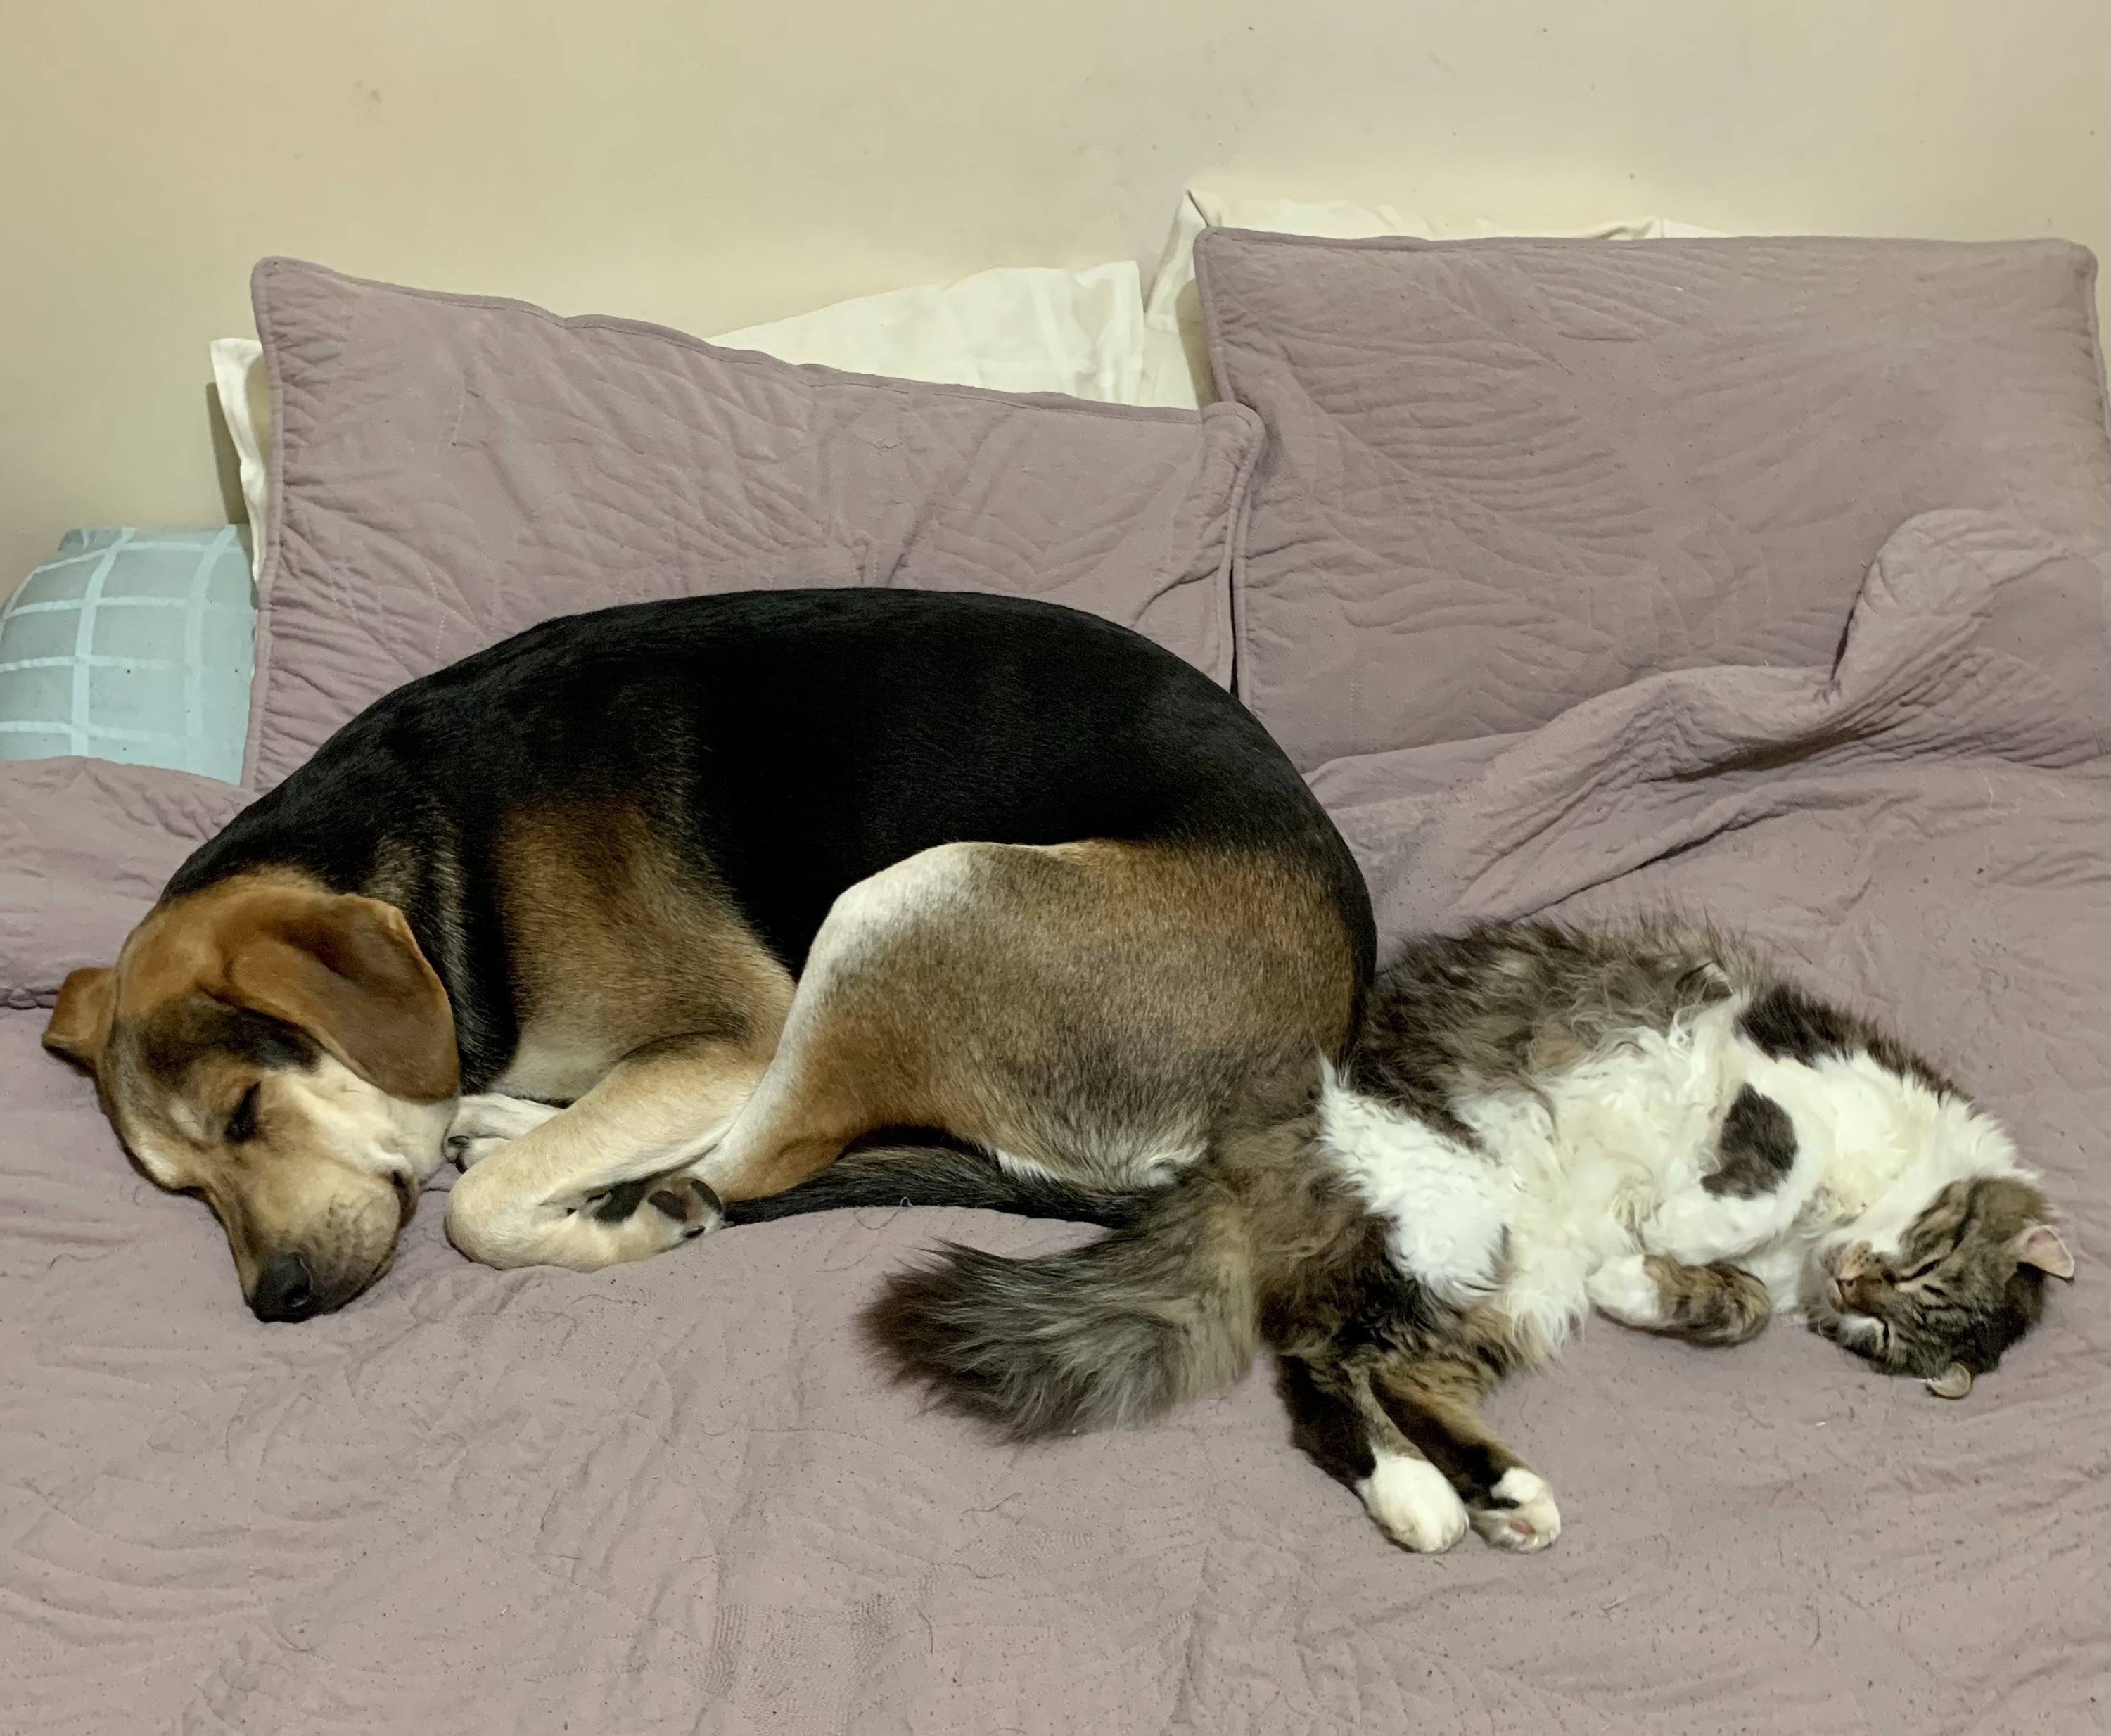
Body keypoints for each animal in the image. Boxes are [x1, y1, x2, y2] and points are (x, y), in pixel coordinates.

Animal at [45, 591, 1384, 1326]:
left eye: (246, 1110)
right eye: (180, 1189)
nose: (276, 1303)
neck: (437, 858)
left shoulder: (730, 1038)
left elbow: (480, 1212)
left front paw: (601, 1219)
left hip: (909, 899)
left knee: (761, 1155)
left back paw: (610, 1179)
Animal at [827, 925, 2077, 1562]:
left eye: (1884, 1335)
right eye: (1913, 1274)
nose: (1857, 1282)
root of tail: (1252, 1133)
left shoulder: (1763, 1272)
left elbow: (1736, 1305)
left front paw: (1648, 1281)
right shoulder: (1780, 1070)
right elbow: (1771, 1171)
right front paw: (1683, 1225)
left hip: (1503, 1283)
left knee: (1382, 1371)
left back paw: (1488, 1496)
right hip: (1455, 1208)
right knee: (1322, 1361)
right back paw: (1428, 1500)